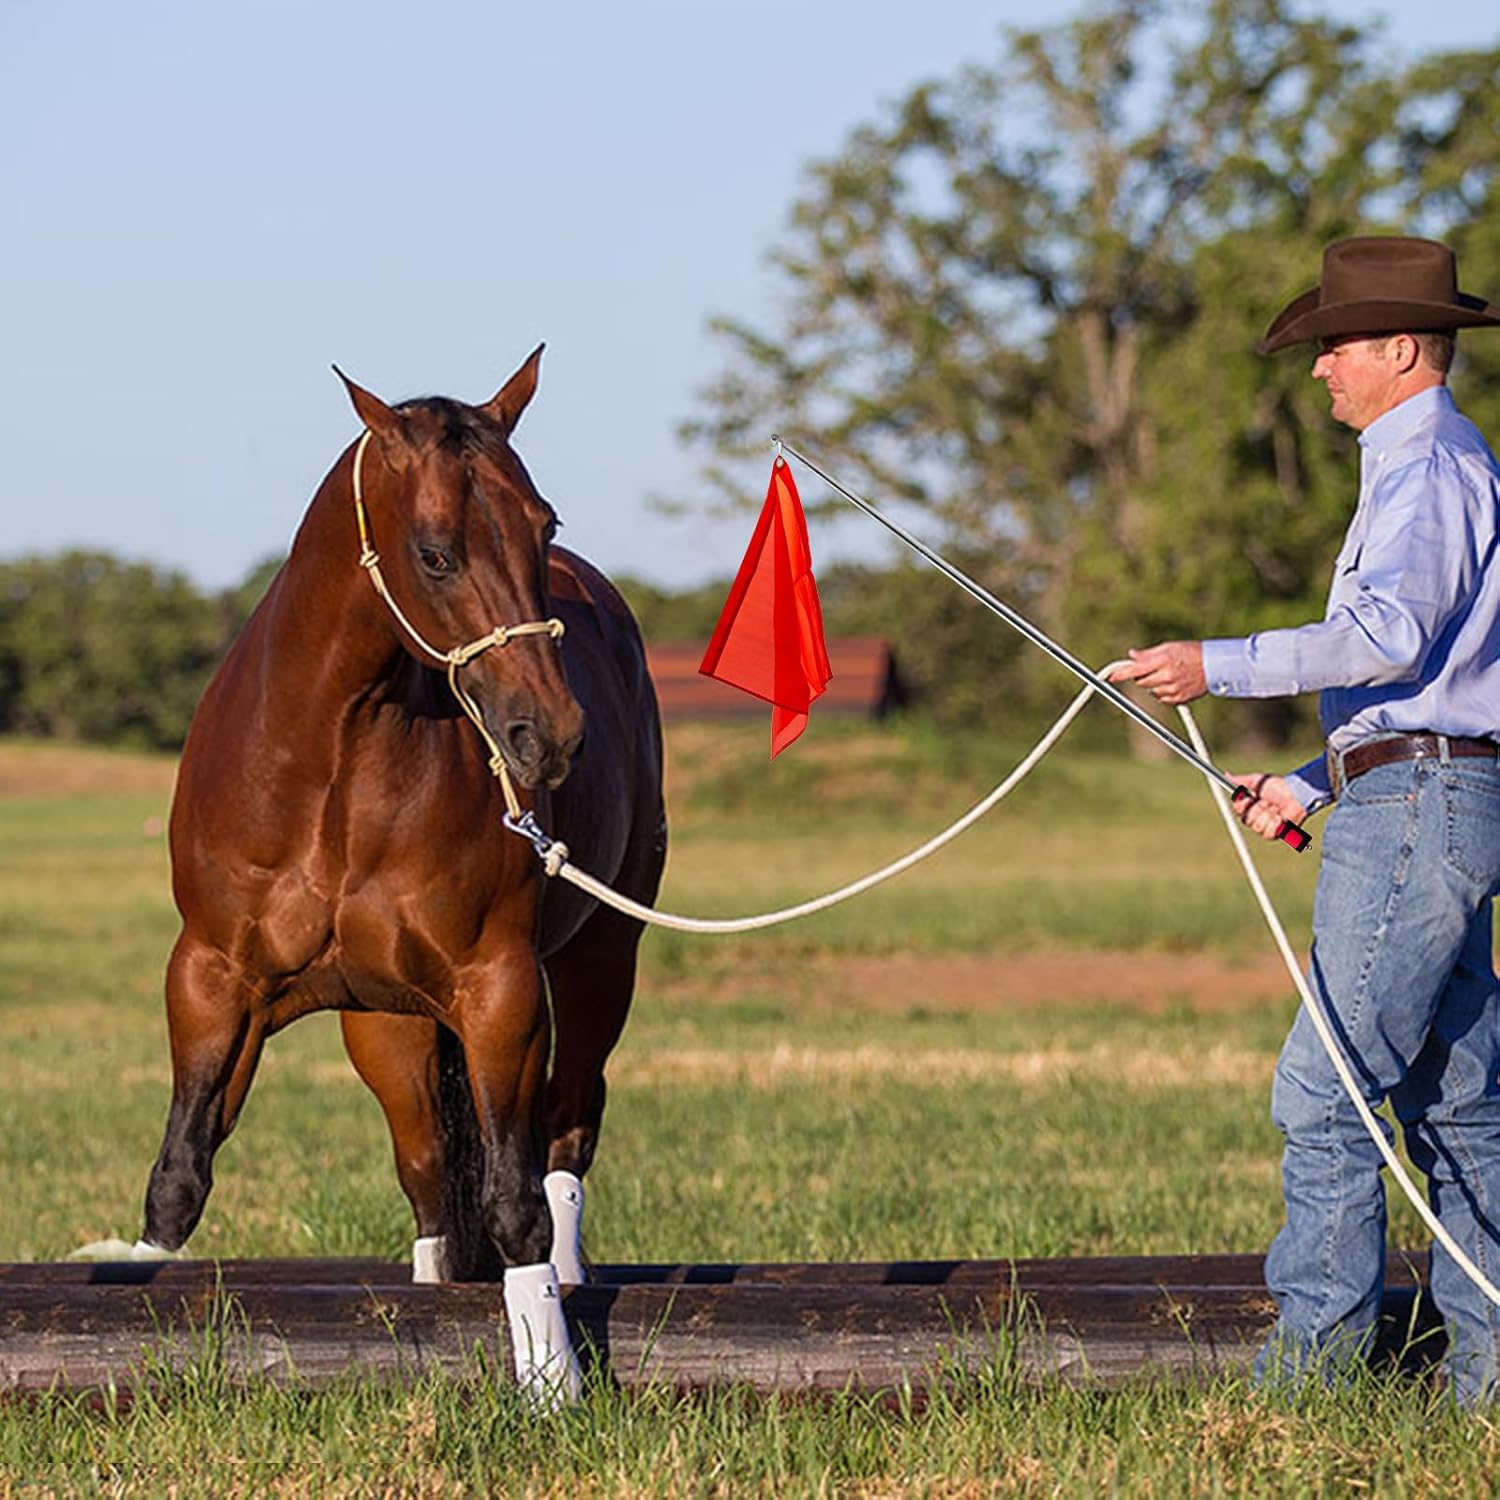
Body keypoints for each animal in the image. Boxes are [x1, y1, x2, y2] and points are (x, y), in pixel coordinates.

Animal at [138, 349, 666, 1369]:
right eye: (434, 552)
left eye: (544, 525)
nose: (547, 735)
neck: (331, 773)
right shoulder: (212, 979)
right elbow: (179, 1178)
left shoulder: (499, 990)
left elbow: (514, 1204)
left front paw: (552, 1374)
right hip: (388, 1030)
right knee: (427, 1175)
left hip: (599, 962)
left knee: (565, 1132)